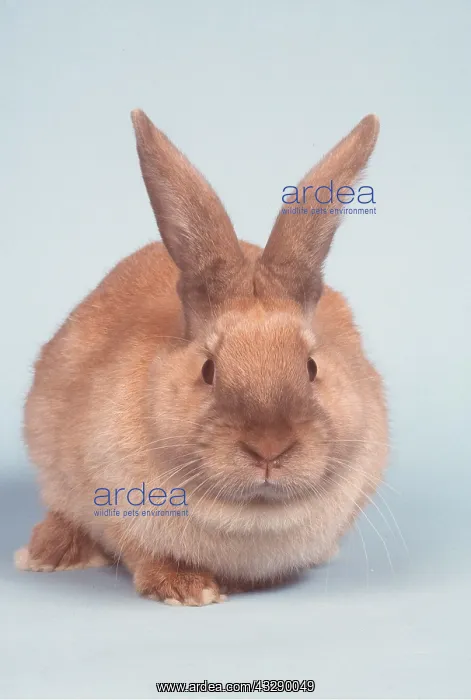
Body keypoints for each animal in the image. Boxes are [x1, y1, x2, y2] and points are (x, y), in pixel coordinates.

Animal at [15, 109, 388, 606]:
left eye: (311, 367)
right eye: (208, 370)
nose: (269, 447)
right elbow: (141, 551)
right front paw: (187, 589)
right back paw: (46, 553)